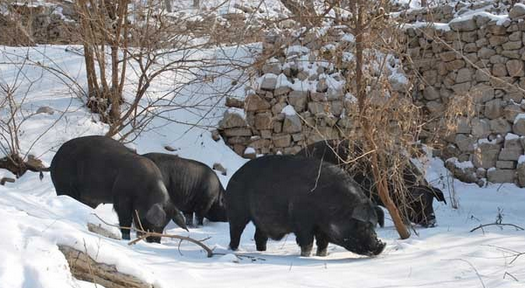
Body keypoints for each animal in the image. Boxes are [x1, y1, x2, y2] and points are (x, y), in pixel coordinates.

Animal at [49, 136, 187, 242]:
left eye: (165, 225)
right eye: (155, 224)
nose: (156, 241)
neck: (145, 190)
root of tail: (54, 160)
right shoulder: (121, 199)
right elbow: (125, 220)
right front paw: (127, 239)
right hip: (65, 185)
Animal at [226, 156, 384, 258]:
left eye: (374, 225)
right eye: (362, 226)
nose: (379, 245)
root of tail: (234, 175)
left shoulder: (322, 230)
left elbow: (323, 245)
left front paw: (321, 256)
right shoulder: (302, 222)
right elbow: (307, 243)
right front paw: (305, 257)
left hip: (260, 221)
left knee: (259, 236)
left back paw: (262, 252)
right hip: (237, 212)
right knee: (235, 231)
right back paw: (234, 250)